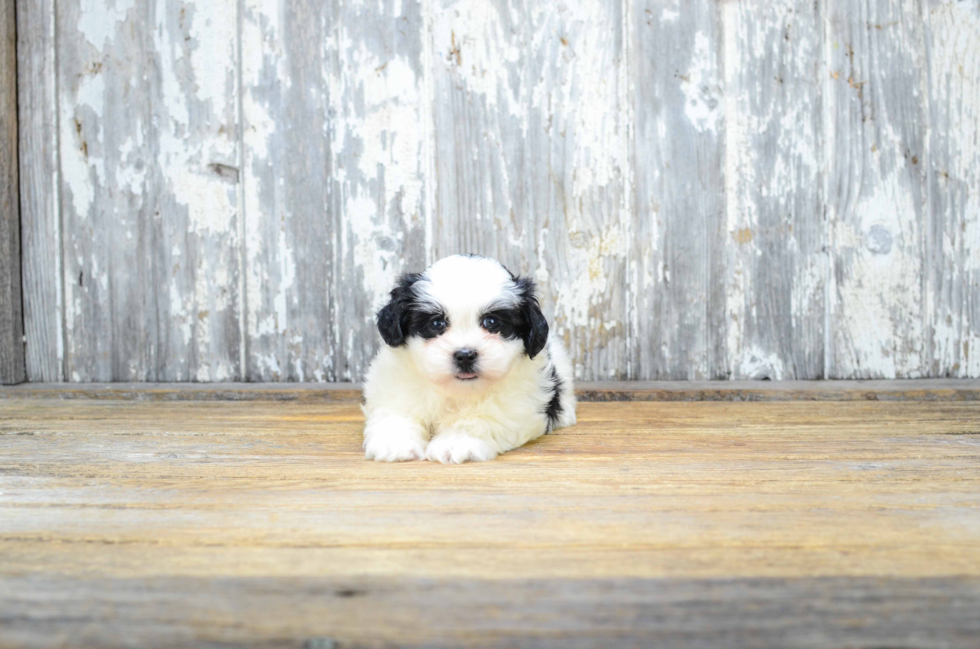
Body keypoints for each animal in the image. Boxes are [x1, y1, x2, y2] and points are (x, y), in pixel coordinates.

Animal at [360, 253, 576, 460]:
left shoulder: (515, 404)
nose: (465, 356)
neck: (455, 391)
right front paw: (394, 444)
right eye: (436, 323)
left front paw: (456, 442)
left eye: (492, 322)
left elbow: (479, 419)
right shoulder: (396, 386)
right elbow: (397, 412)